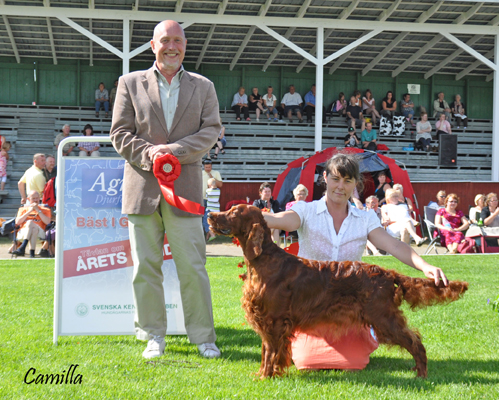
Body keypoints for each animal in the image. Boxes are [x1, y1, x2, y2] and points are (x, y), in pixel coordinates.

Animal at [208, 204, 468, 379]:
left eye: (233, 212)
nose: (209, 214)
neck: (263, 260)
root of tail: (387, 272)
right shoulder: (267, 321)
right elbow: (265, 351)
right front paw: (263, 374)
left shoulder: (273, 320)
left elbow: (270, 351)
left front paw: (266, 376)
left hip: (383, 319)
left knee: (415, 342)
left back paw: (421, 374)